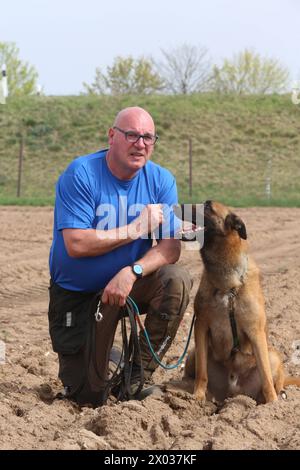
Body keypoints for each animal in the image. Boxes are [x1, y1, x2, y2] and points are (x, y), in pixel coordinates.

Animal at [176, 200, 300, 402]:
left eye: (208, 206)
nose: (176, 205)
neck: (227, 285)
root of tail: (232, 390)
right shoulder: (201, 326)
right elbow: (202, 372)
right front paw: (198, 397)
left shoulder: (255, 332)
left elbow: (266, 377)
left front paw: (272, 404)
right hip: (193, 351)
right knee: (192, 373)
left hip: (273, 355)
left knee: (274, 379)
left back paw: (278, 395)